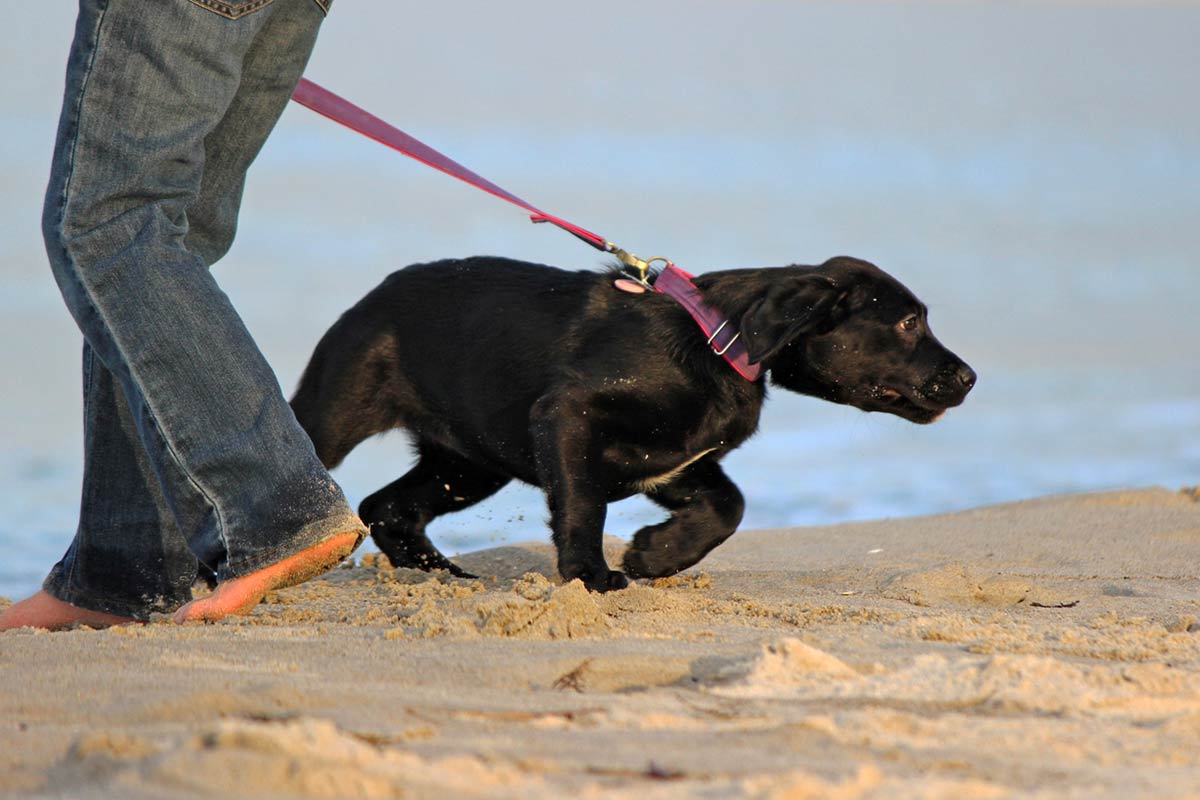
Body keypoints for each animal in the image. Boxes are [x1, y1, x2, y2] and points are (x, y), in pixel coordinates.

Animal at [290, 257, 974, 594]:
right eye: (908, 323)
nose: (969, 378)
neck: (720, 340)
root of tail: (375, 294)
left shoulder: (675, 461)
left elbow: (729, 504)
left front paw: (656, 555)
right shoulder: (569, 417)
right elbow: (583, 504)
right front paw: (592, 577)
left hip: (469, 459)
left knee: (388, 506)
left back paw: (439, 576)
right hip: (336, 414)